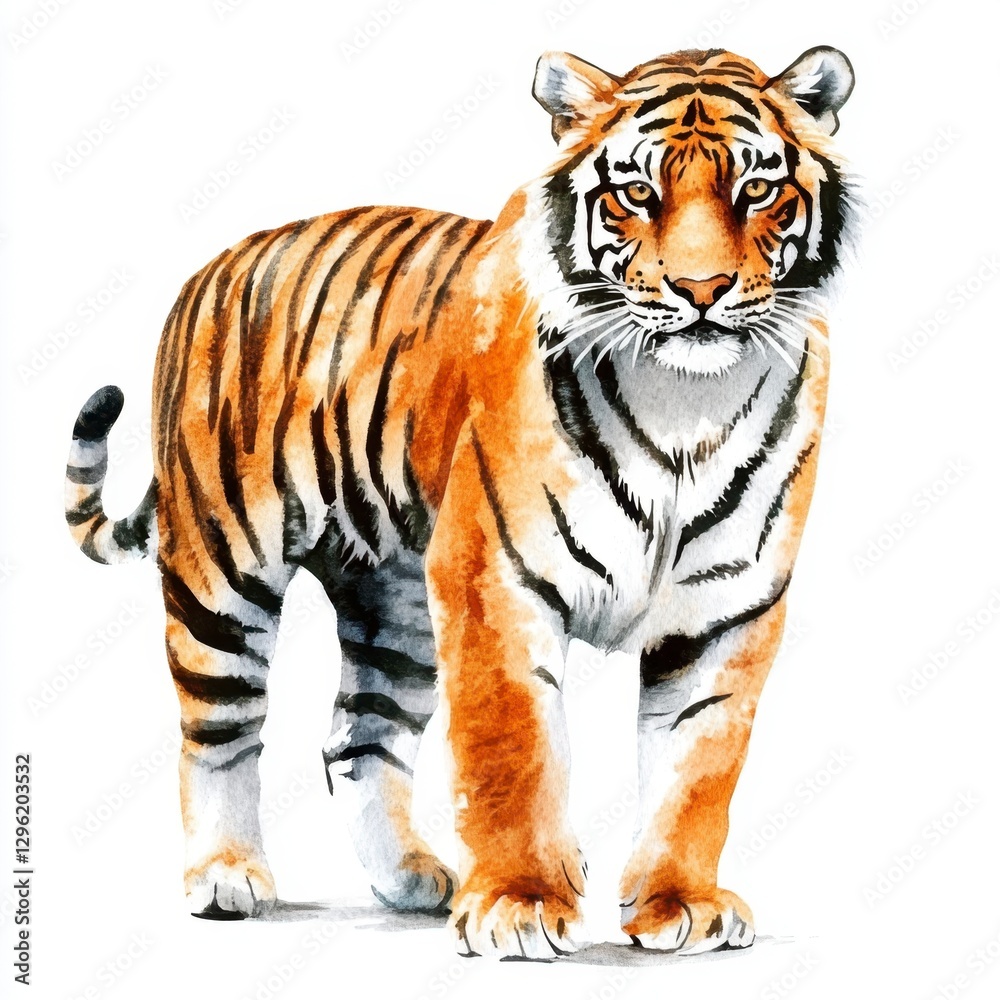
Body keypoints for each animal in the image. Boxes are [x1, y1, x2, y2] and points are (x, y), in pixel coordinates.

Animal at [65, 45, 856, 958]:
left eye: (756, 189)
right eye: (636, 193)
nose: (702, 290)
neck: (685, 402)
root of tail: (212, 267)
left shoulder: (727, 609)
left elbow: (697, 768)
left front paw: (678, 904)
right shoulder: (495, 579)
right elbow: (512, 748)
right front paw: (520, 904)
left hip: (396, 602)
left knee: (357, 737)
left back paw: (409, 877)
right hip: (223, 568)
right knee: (218, 727)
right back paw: (225, 876)